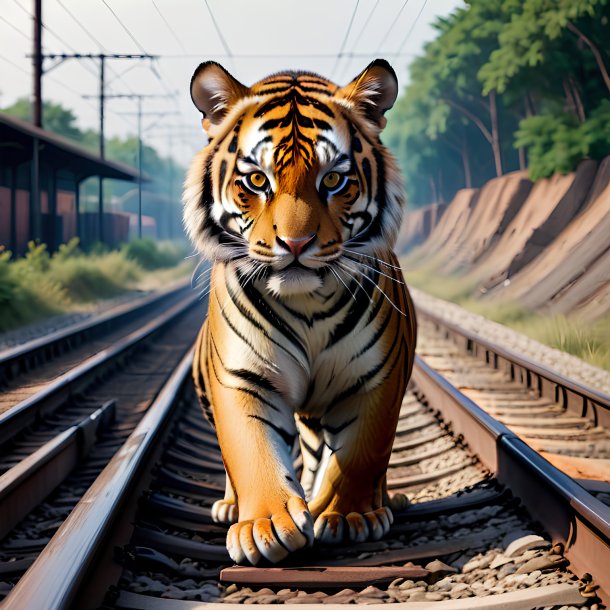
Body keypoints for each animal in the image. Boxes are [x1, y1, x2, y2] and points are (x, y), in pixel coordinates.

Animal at [183, 59, 416, 564]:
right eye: (257, 180)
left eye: (332, 180)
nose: (295, 243)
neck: (306, 301)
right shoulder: (242, 376)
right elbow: (250, 449)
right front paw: (266, 526)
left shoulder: (376, 378)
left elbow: (362, 452)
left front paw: (348, 517)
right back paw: (232, 507)